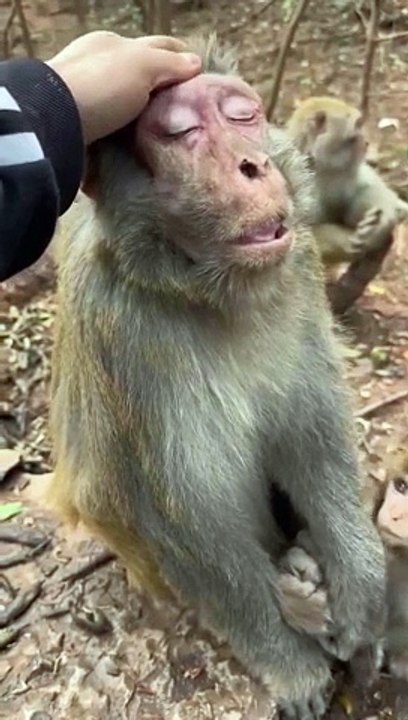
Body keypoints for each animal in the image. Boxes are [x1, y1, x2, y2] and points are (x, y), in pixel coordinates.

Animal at [47, 36, 386, 720]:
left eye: (242, 115)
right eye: (182, 132)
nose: (253, 165)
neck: (209, 290)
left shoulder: (297, 265)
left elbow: (311, 428)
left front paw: (360, 588)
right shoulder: (117, 323)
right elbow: (179, 500)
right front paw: (288, 664)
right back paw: (299, 595)